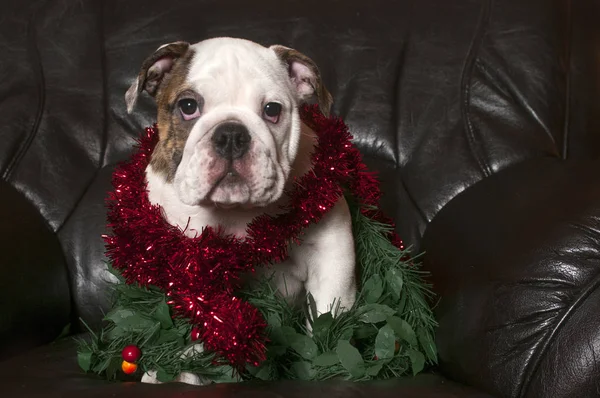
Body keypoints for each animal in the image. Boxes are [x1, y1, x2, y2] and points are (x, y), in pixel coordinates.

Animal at [123, 38, 354, 386]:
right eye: (188, 106)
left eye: (272, 110)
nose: (231, 134)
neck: (235, 211)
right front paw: (186, 371)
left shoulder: (332, 254)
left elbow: (328, 314)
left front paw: (328, 362)